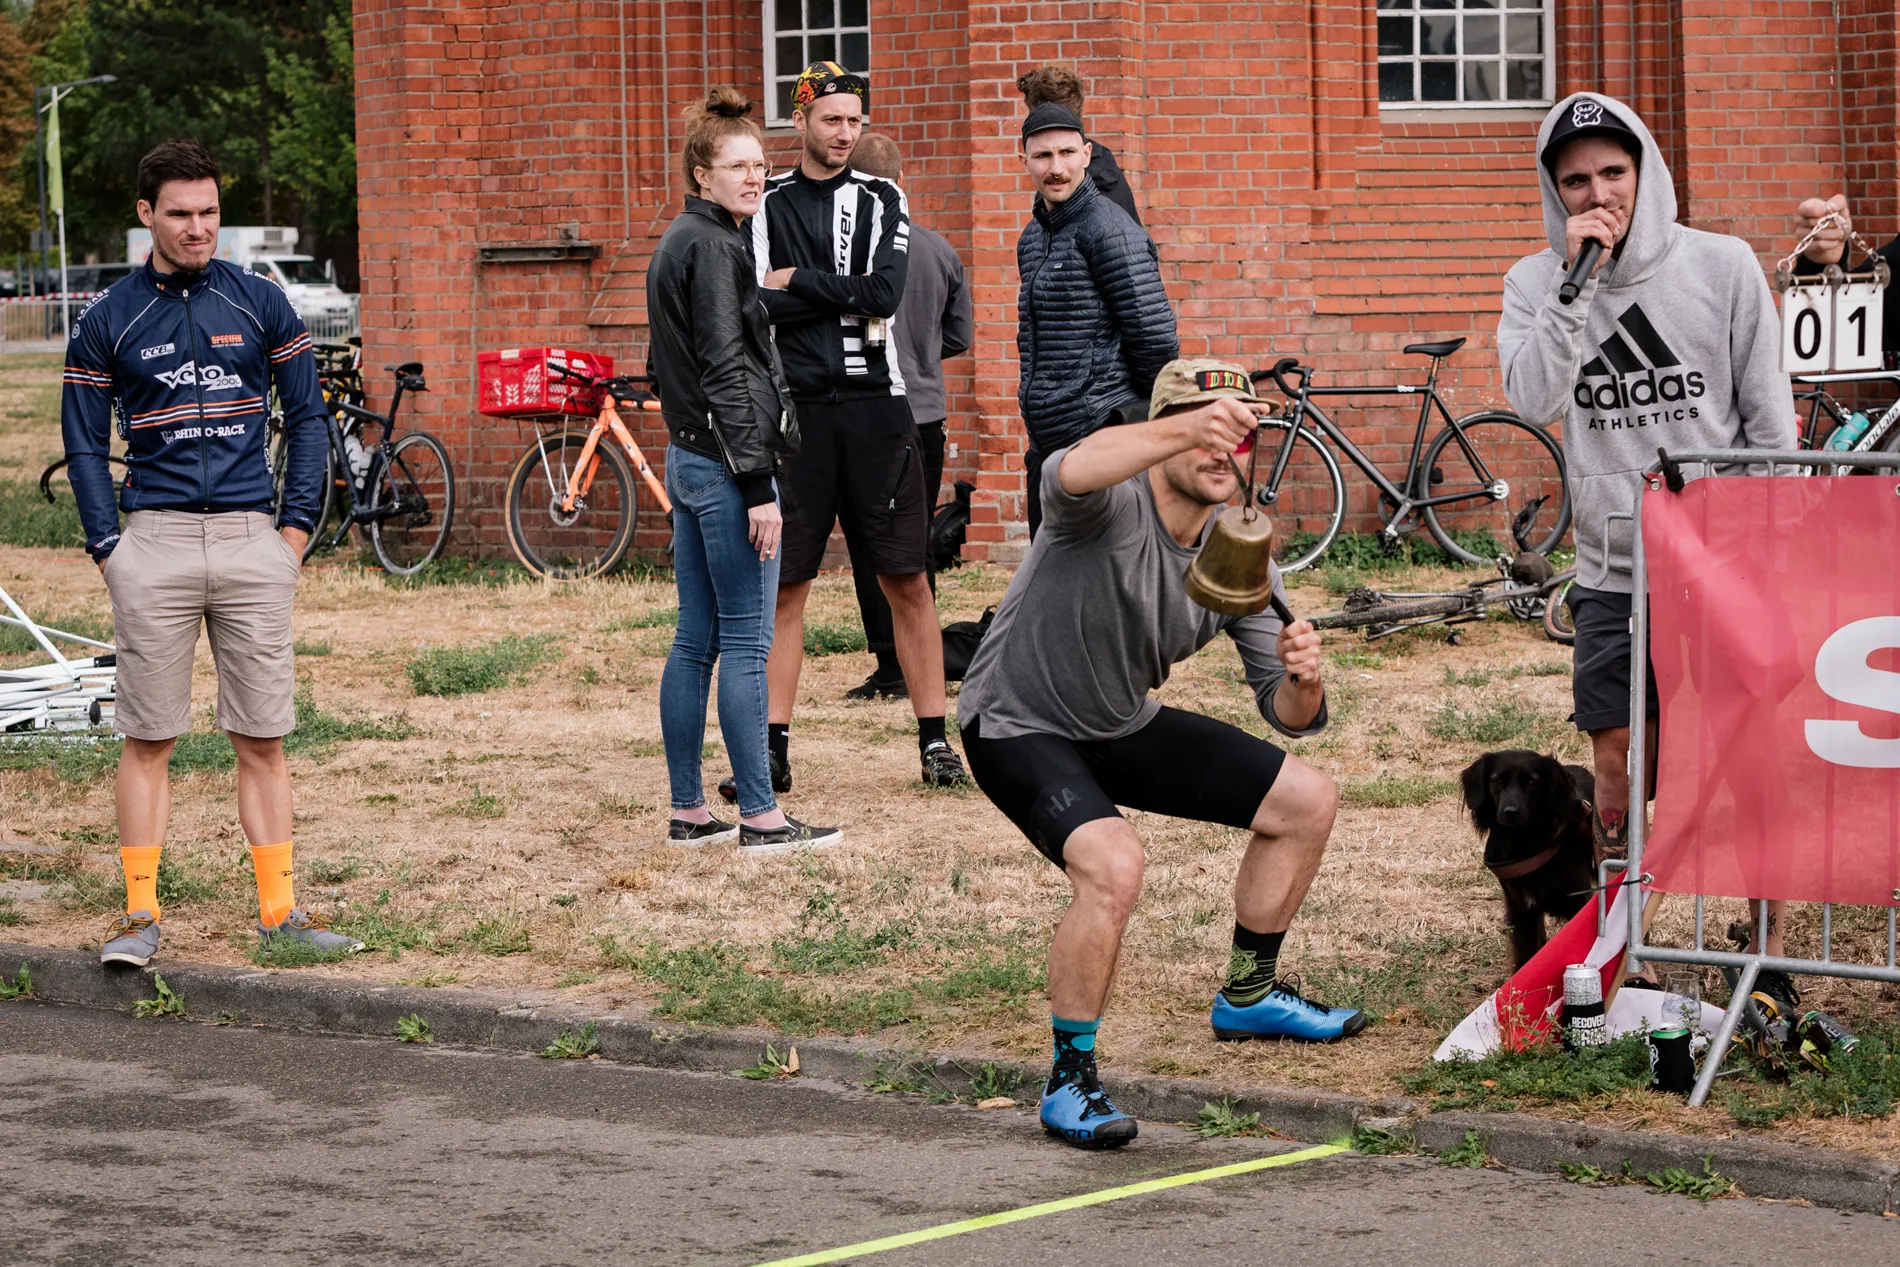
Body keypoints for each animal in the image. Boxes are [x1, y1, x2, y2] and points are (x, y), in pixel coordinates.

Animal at [1459, 752, 1596, 972]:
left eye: (1532, 781)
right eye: (1497, 781)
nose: (1510, 812)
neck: (1523, 843)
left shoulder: (1579, 902)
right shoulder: (1521, 911)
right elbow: (1526, 956)